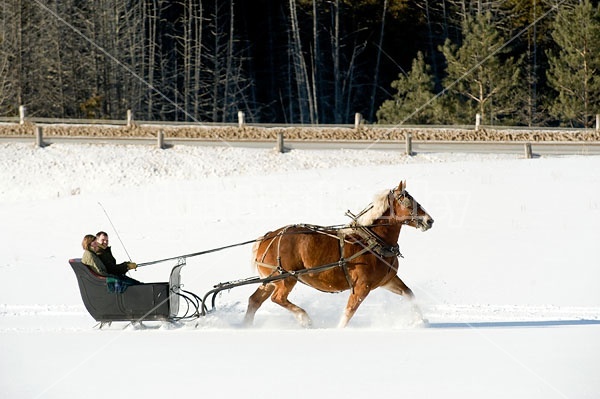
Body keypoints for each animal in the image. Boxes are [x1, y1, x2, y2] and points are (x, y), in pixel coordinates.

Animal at [241, 181, 434, 328]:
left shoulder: (387, 281)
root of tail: (268, 237)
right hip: (286, 278)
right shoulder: (362, 287)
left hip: (269, 281)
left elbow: (409, 294)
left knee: (254, 301)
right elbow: (348, 313)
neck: (372, 241)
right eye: (408, 202)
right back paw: (304, 318)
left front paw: (421, 322)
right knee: (278, 298)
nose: (429, 221)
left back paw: (247, 326)